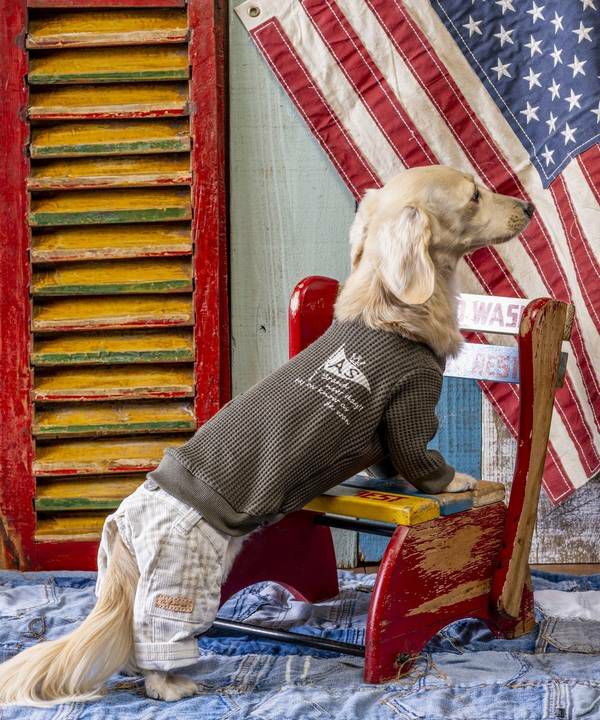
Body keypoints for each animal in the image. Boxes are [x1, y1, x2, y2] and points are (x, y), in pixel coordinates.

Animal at [0, 165, 534, 706]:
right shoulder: (409, 408)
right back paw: (173, 685)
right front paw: (455, 481)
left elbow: (385, 463)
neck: (385, 309)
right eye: (473, 196)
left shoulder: (387, 438)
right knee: (157, 644)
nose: (528, 207)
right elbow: (420, 459)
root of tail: (126, 520)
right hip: (184, 578)